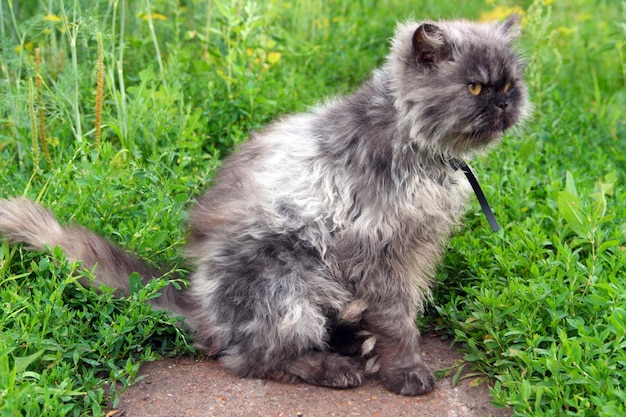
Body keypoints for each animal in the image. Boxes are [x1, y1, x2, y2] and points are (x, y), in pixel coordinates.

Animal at [0, 15, 528, 394]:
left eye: (509, 85)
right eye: (475, 87)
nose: (504, 104)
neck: (421, 148)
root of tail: (201, 306)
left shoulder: (416, 250)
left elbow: (402, 316)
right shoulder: (382, 253)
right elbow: (398, 323)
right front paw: (405, 372)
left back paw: (351, 343)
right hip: (286, 280)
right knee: (253, 359)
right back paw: (333, 367)